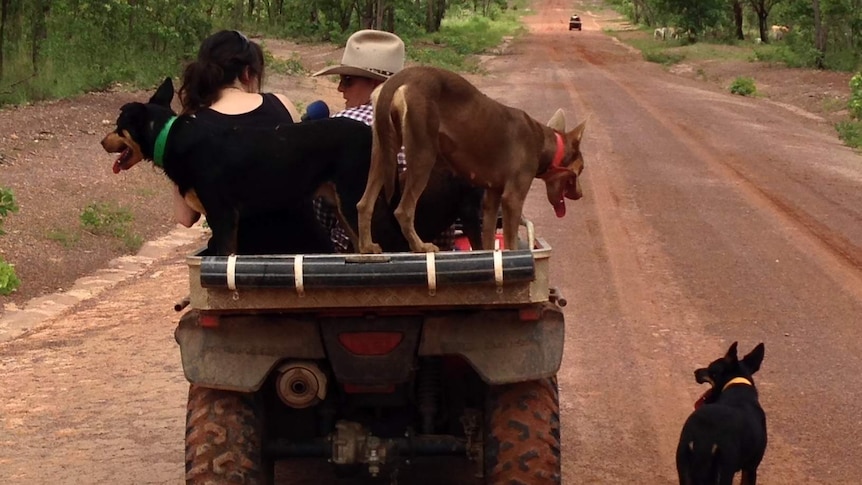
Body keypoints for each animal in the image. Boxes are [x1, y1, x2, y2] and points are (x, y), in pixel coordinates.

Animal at [101, 76, 486, 253]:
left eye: (118, 124)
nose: (102, 142)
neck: (170, 135)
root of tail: (373, 133)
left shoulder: (224, 216)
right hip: (343, 206)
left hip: (355, 198)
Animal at [356, 65, 588, 253]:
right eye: (582, 169)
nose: (580, 194)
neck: (543, 143)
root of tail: (399, 78)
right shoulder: (512, 197)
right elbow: (512, 244)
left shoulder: (492, 198)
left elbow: (488, 240)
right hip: (423, 154)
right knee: (403, 210)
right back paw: (420, 246)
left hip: (383, 149)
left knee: (364, 203)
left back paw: (367, 247)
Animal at [680, 340, 768, 484]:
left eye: (710, 368)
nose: (695, 372)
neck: (736, 385)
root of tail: (704, 439)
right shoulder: (750, 468)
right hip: (724, 472)